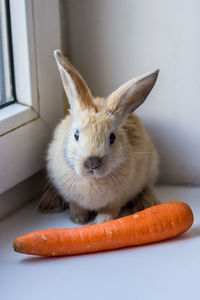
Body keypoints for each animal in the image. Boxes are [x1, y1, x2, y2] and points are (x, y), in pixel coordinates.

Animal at [39, 49, 160, 223]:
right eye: (76, 134)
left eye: (112, 137)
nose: (92, 163)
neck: (92, 180)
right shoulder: (71, 197)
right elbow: (75, 205)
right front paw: (78, 219)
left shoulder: (118, 199)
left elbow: (110, 209)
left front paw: (102, 221)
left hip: (151, 170)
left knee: (148, 187)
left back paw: (148, 203)